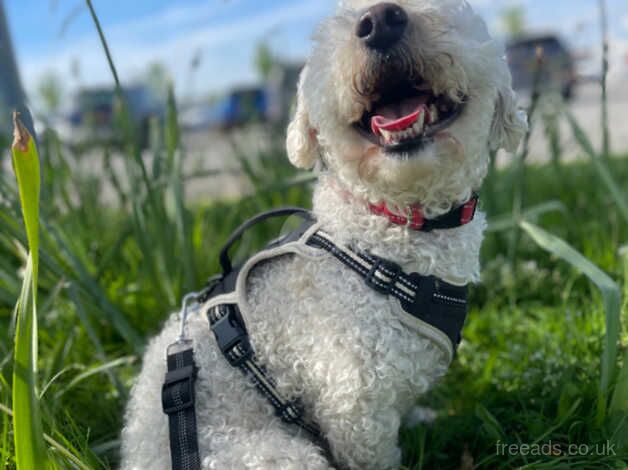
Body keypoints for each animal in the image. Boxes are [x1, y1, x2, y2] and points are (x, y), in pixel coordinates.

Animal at [121, 0, 524, 466]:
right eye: (335, 25)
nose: (380, 21)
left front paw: (421, 417)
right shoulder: (356, 408)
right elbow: (377, 454)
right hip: (277, 455)